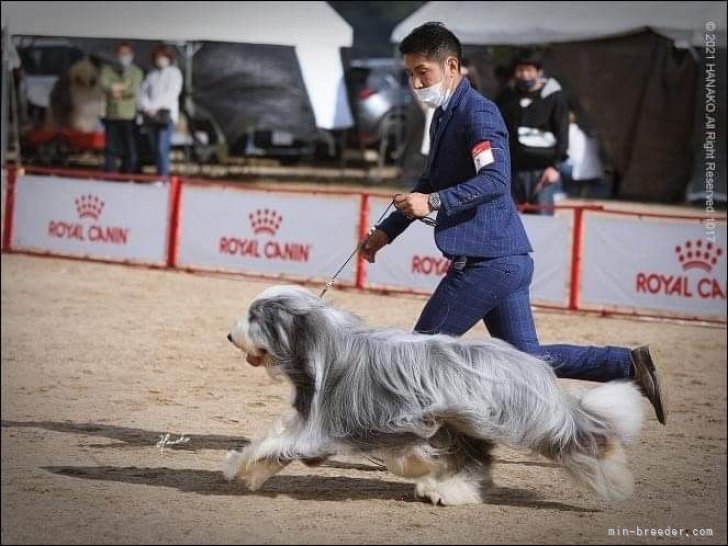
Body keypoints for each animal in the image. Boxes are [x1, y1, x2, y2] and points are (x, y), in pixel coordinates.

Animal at [226, 284, 644, 506]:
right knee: (476, 462)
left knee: (577, 437)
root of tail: (534, 364)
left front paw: (243, 470)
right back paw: (447, 490)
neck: (319, 343)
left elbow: (280, 446)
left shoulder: (326, 426)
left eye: (254, 317)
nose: (229, 335)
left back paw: (616, 478)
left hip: (516, 419)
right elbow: (272, 441)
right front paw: (241, 466)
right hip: (461, 423)